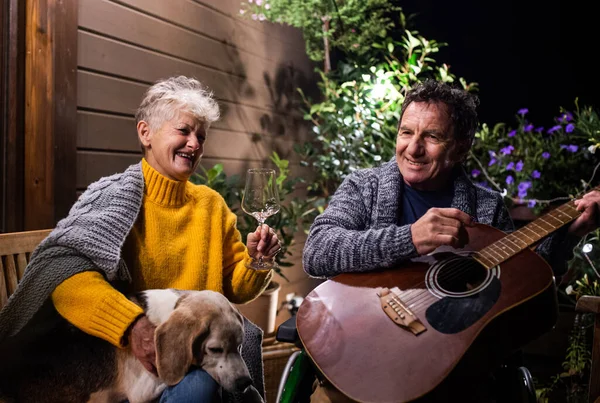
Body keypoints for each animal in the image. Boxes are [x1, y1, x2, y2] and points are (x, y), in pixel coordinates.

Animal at [0, 288, 262, 402]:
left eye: (240, 345)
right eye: (215, 350)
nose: (245, 382)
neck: (166, 313)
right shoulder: (142, 389)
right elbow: (195, 369)